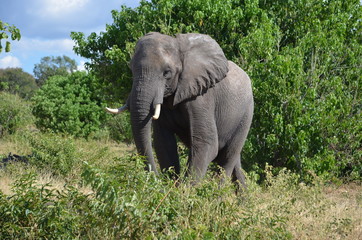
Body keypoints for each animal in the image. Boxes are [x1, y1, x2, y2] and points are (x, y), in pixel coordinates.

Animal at [106, 31, 253, 186]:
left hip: (246, 114)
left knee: (227, 157)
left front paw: (185, 191)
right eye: (131, 69)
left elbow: (206, 143)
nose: (155, 179)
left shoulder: (202, 97)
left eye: (167, 73)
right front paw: (171, 186)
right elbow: (163, 143)